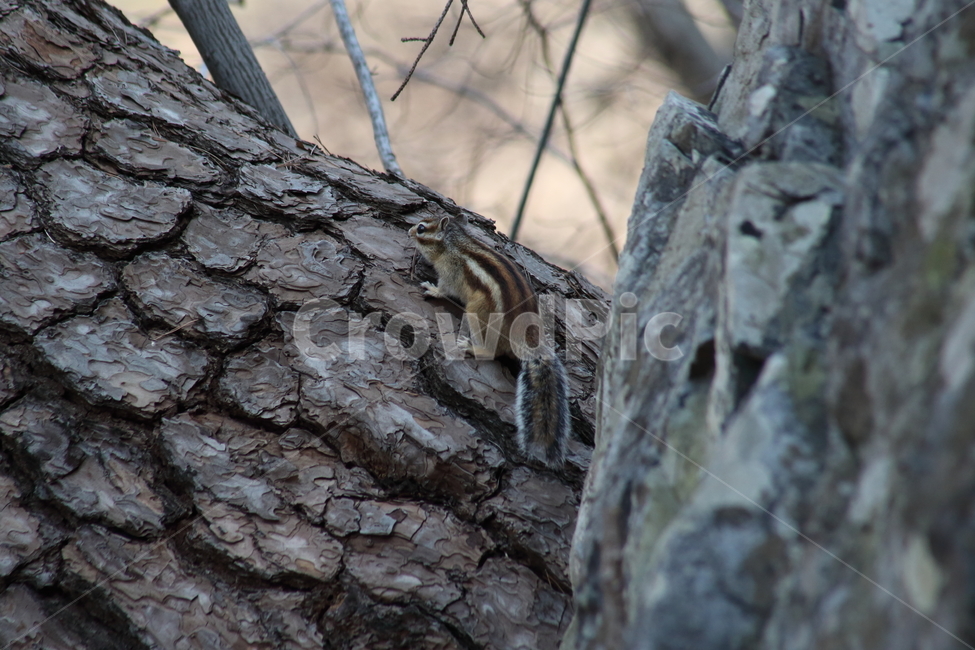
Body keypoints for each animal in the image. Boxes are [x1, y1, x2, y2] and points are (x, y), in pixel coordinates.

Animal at [409, 214, 570, 468]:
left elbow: (445, 289)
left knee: (491, 352)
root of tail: (525, 338)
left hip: (476, 312)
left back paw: (470, 347)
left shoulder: (450, 274)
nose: (408, 231)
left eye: (422, 228)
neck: (454, 244)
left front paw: (433, 290)